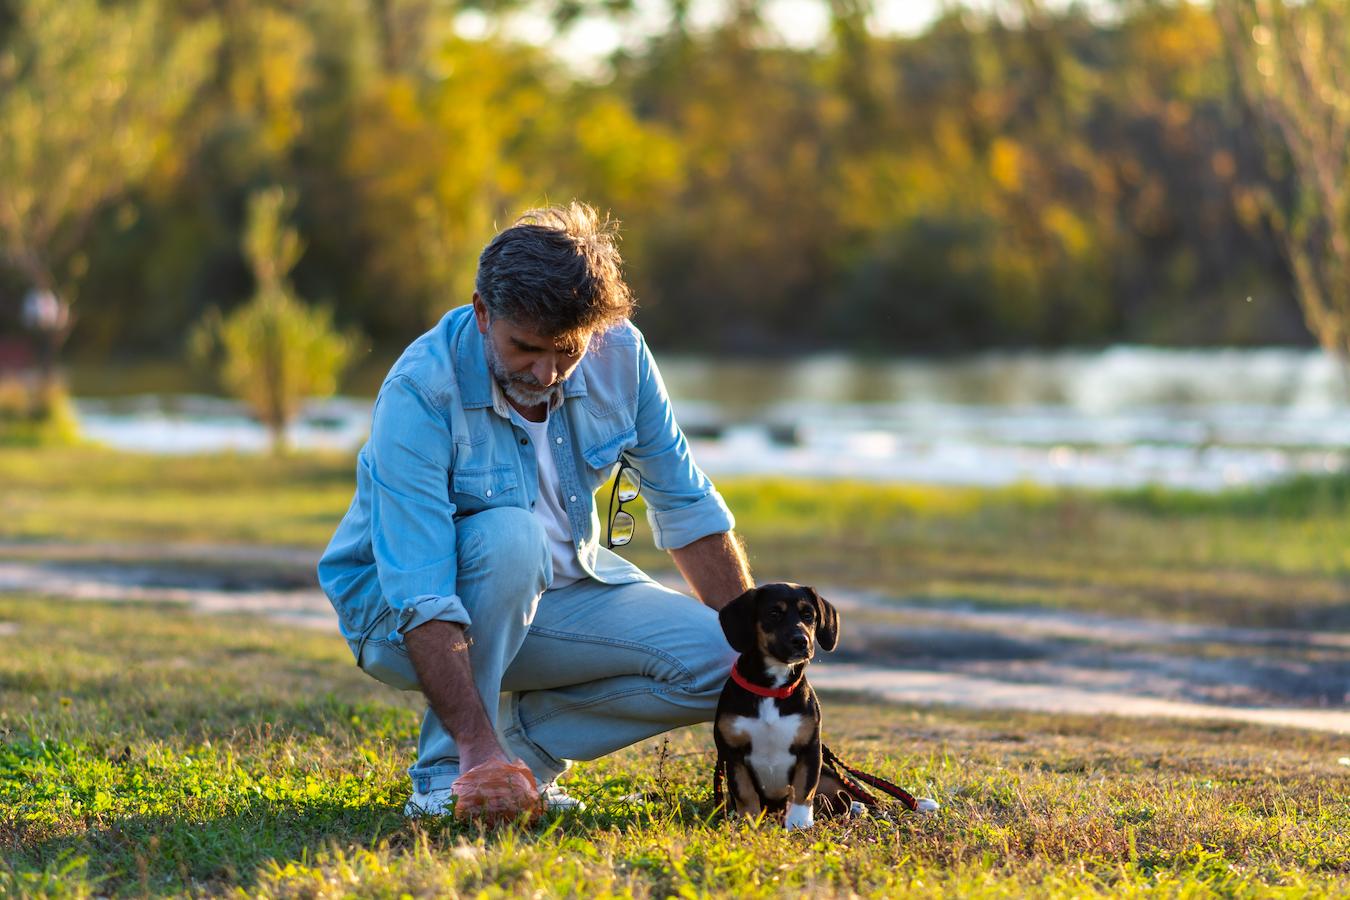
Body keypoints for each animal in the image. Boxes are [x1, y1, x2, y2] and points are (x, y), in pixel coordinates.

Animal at [712, 585, 837, 831]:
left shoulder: (810, 749)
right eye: (774, 613)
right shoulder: (732, 752)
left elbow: (803, 789)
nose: (801, 641)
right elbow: (745, 793)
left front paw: (799, 822)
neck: (772, 689)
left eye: (808, 615)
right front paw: (749, 822)